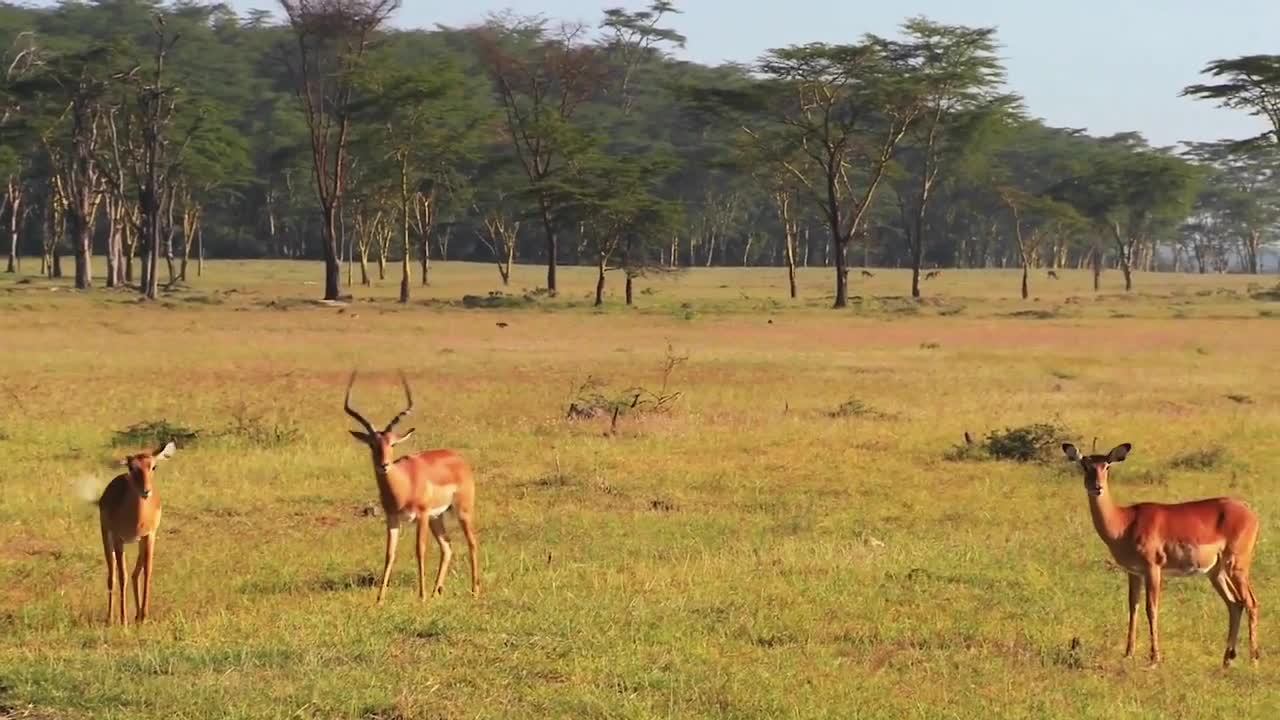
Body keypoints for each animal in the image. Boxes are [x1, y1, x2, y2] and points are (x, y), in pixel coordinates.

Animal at [97, 438, 176, 622]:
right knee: (112, 576)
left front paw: (144, 617)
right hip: (106, 537)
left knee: (135, 574)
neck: (137, 519)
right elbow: (122, 576)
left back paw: (138, 615)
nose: (146, 491)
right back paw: (110, 618)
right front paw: (123, 620)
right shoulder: (118, 539)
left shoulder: (150, 536)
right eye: (132, 467)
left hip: (140, 543)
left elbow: (146, 572)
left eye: (153, 466)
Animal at [345, 371, 481, 602]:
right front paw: (380, 599)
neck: (405, 484)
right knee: (447, 547)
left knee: (472, 542)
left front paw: (421, 596)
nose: (384, 465)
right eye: (372, 444)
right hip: (438, 517)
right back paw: (437, 592)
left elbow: (420, 550)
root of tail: (458, 458)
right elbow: (389, 554)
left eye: (392, 444)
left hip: (461, 511)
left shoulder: (422, 515)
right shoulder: (392, 518)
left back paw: (474, 591)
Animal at [1059, 443, 1259, 666]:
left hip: (1237, 566)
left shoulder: (1153, 569)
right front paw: (1128, 653)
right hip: (1216, 572)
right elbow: (1133, 607)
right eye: (1085, 465)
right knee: (1235, 604)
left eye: (1107, 466)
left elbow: (1151, 608)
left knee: (1251, 603)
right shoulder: (1134, 572)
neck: (1125, 523)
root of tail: (1250, 511)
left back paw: (1254, 659)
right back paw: (1227, 660)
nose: (1097, 487)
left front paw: (1154, 658)